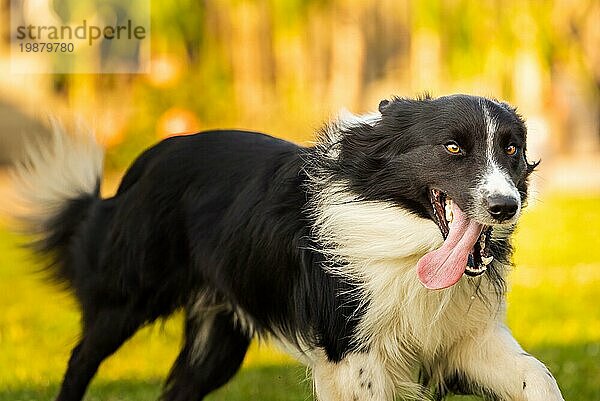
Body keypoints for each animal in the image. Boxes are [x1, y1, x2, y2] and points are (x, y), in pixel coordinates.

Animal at [11, 94, 564, 400]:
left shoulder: (465, 341)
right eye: (453, 148)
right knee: (80, 360)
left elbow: (539, 375)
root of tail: (148, 160)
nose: (506, 207)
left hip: (220, 336)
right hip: (128, 296)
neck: (407, 242)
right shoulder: (352, 356)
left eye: (512, 149)